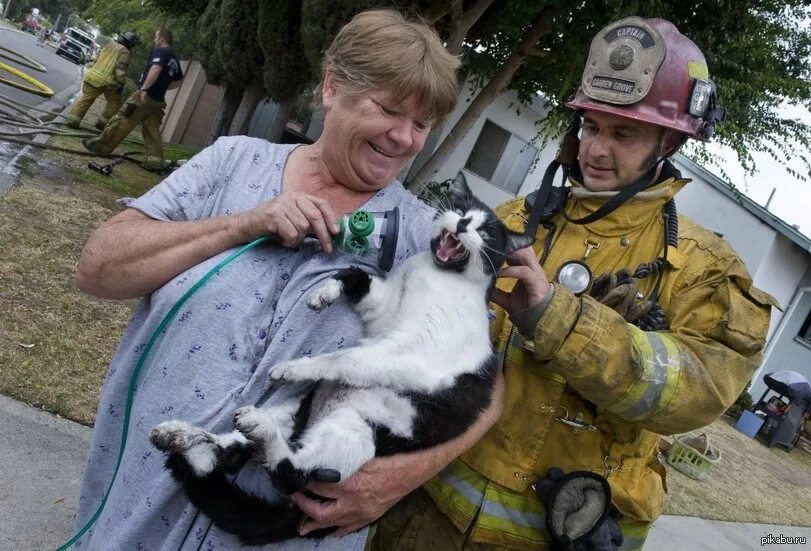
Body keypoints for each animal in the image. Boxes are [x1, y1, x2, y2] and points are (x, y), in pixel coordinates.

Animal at [149, 175, 536, 544]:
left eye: (485, 232)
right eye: (460, 208)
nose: (464, 223)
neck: (434, 273)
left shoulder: (409, 353)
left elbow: (345, 358)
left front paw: (295, 366)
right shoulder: (382, 313)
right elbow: (354, 274)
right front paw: (323, 293)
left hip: (354, 437)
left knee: (290, 472)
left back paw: (254, 434)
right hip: (293, 410)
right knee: (230, 452)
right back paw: (182, 436)